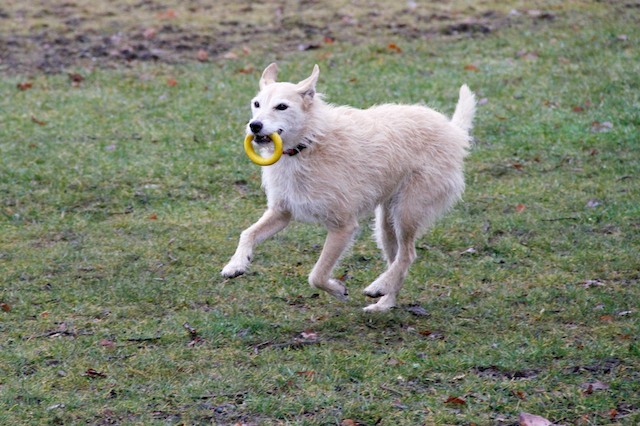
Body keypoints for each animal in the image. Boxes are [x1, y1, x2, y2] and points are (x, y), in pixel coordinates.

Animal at [222, 63, 476, 312]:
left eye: (281, 107)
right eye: (256, 104)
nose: (254, 125)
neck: (308, 143)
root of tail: (453, 131)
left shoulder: (342, 227)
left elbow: (317, 275)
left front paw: (336, 289)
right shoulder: (281, 212)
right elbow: (248, 233)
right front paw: (236, 264)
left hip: (407, 211)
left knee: (408, 255)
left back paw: (378, 286)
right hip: (386, 225)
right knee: (398, 259)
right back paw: (385, 302)